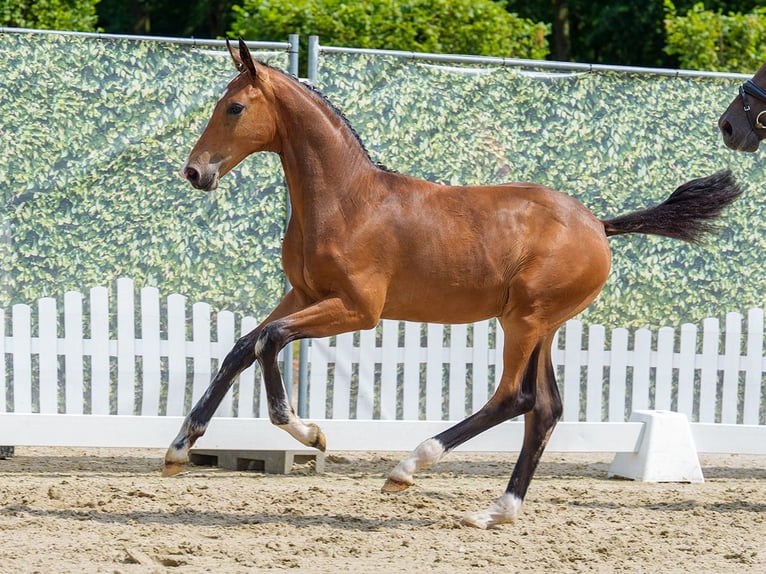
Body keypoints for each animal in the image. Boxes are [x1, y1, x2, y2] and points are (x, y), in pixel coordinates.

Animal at [165, 38, 741, 528]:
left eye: (234, 108)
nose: (194, 172)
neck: (347, 200)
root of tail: (599, 225)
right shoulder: (304, 294)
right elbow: (242, 347)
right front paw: (179, 448)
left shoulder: (356, 308)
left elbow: (270, 339)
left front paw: (310, 433)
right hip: (540, 326)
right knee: (546, 409)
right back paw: (497, 511)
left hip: (524, 321)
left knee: (514, 398)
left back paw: (407, 468)